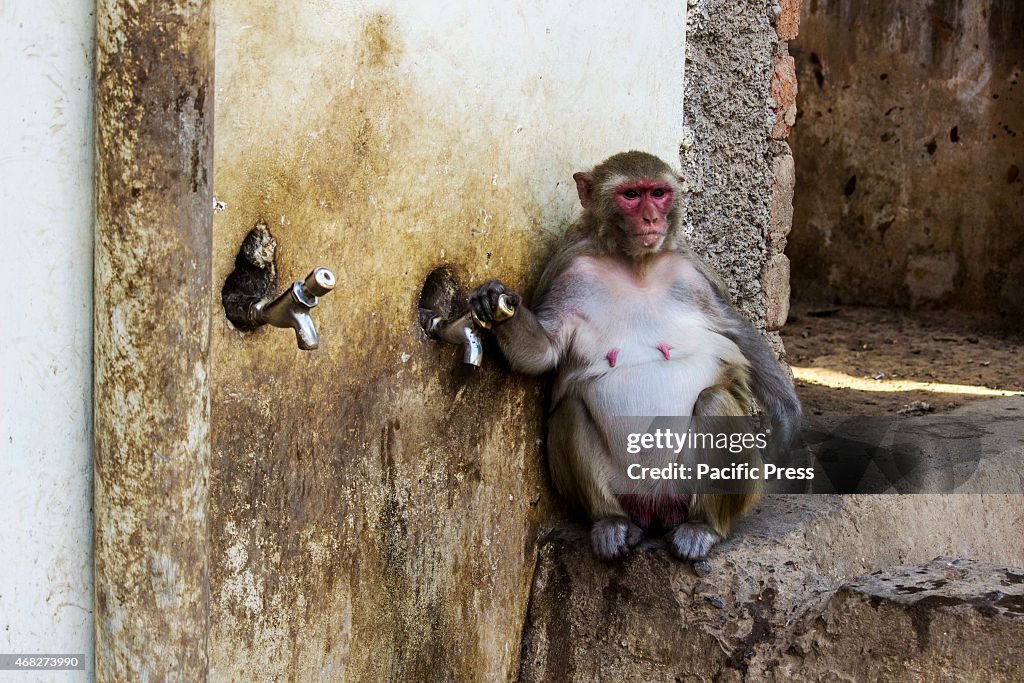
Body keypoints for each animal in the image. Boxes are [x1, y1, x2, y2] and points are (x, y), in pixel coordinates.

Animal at [468, 150, 802, 561]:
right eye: (631, 195)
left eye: (657, 193)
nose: (651, 219)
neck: (635, 264)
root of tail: (655, 507)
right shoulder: (568, 274)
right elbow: (543, 354)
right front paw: (493, 303)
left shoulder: (694, 275)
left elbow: (736, 333)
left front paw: (787, 417)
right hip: (625, 491)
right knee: (571, 411)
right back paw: (612, 523)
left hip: (721, 488)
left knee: (715, 401)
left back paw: (702, 527)